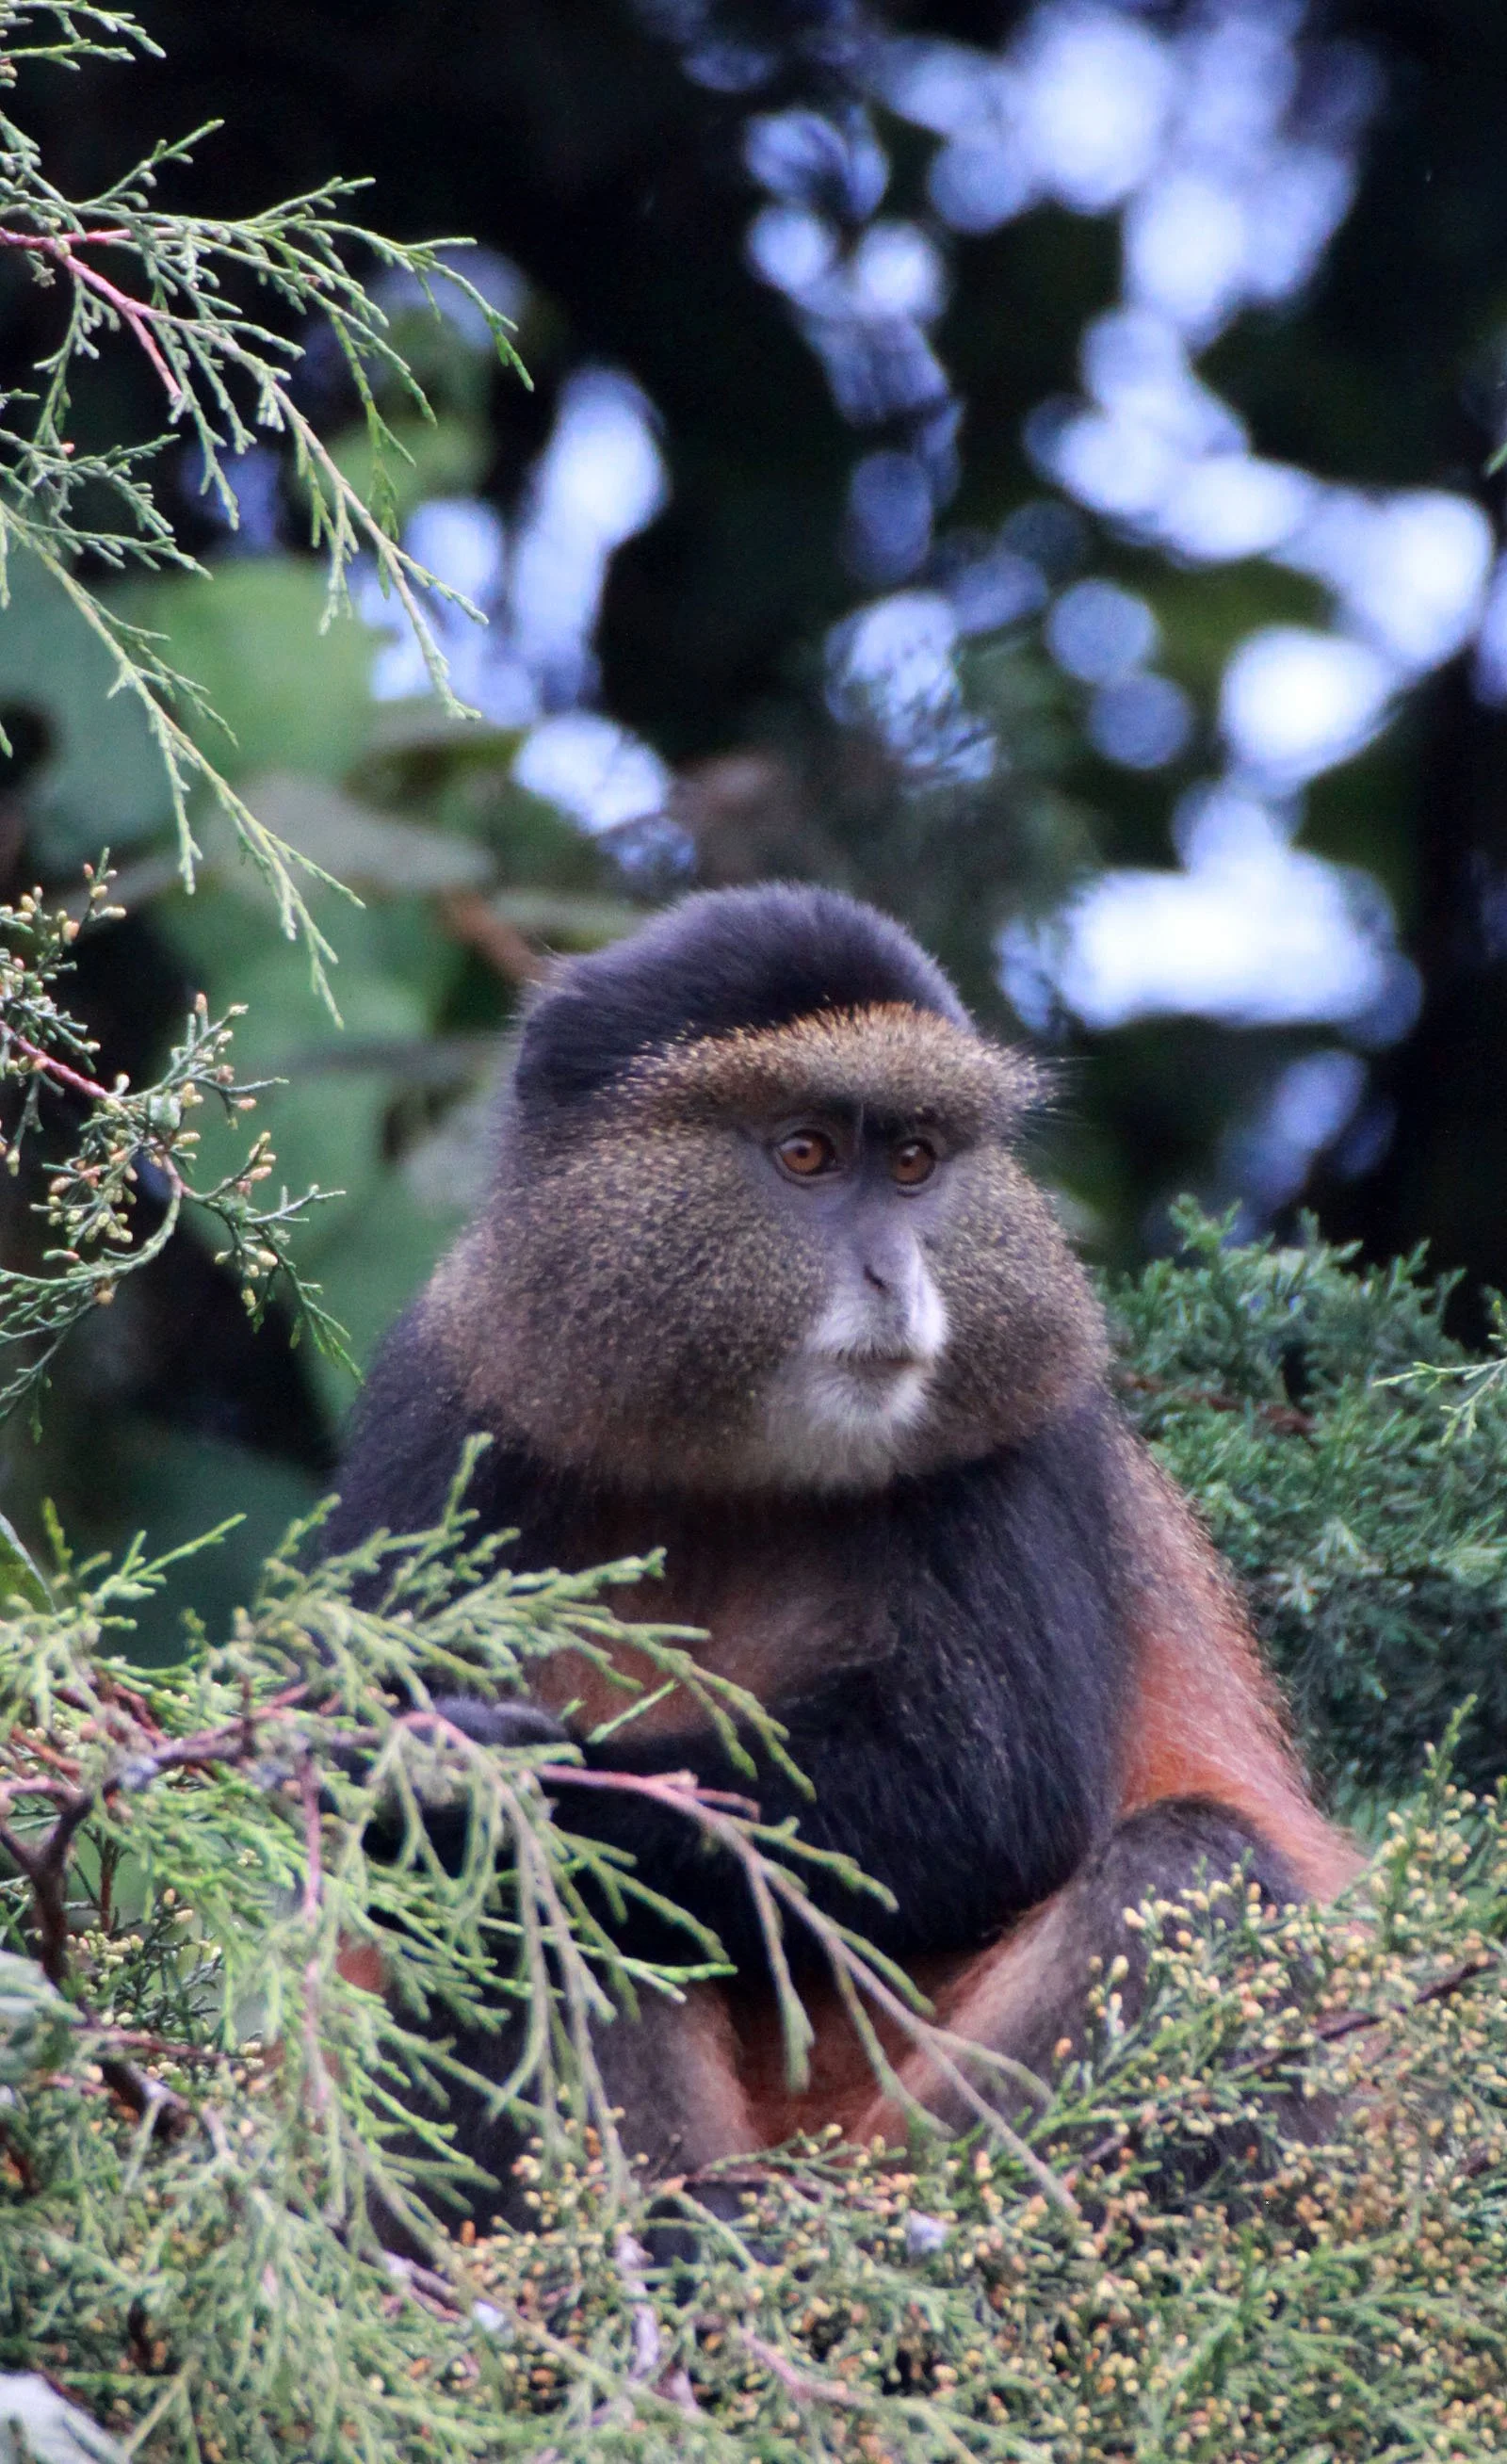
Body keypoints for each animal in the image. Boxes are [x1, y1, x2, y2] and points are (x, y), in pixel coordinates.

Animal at [322, 882, 1358, 2210]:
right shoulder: (447, 1406)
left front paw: (493, 1779)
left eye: (913, 1162)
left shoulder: (1020, 1421)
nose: (894, 1275)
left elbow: (989, 1797)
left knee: (1189, 1867)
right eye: (806, 1152)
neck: (729, 1465)